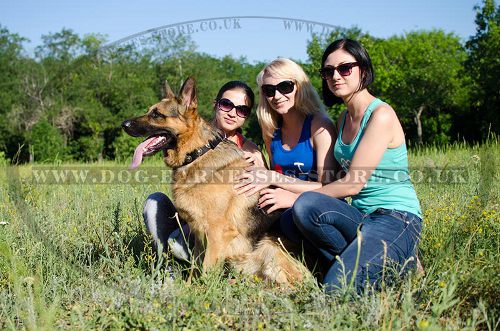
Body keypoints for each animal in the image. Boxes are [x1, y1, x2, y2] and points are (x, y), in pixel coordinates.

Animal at [123, 78, 306, 286]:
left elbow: (206, 269)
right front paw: (188, 288)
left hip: (269, 249)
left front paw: (201, 290)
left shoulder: (217, 234)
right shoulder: (200, 235)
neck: (197, 153)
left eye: (156, 114)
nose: (123, 124)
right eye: (149, 111)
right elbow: (196, 266)